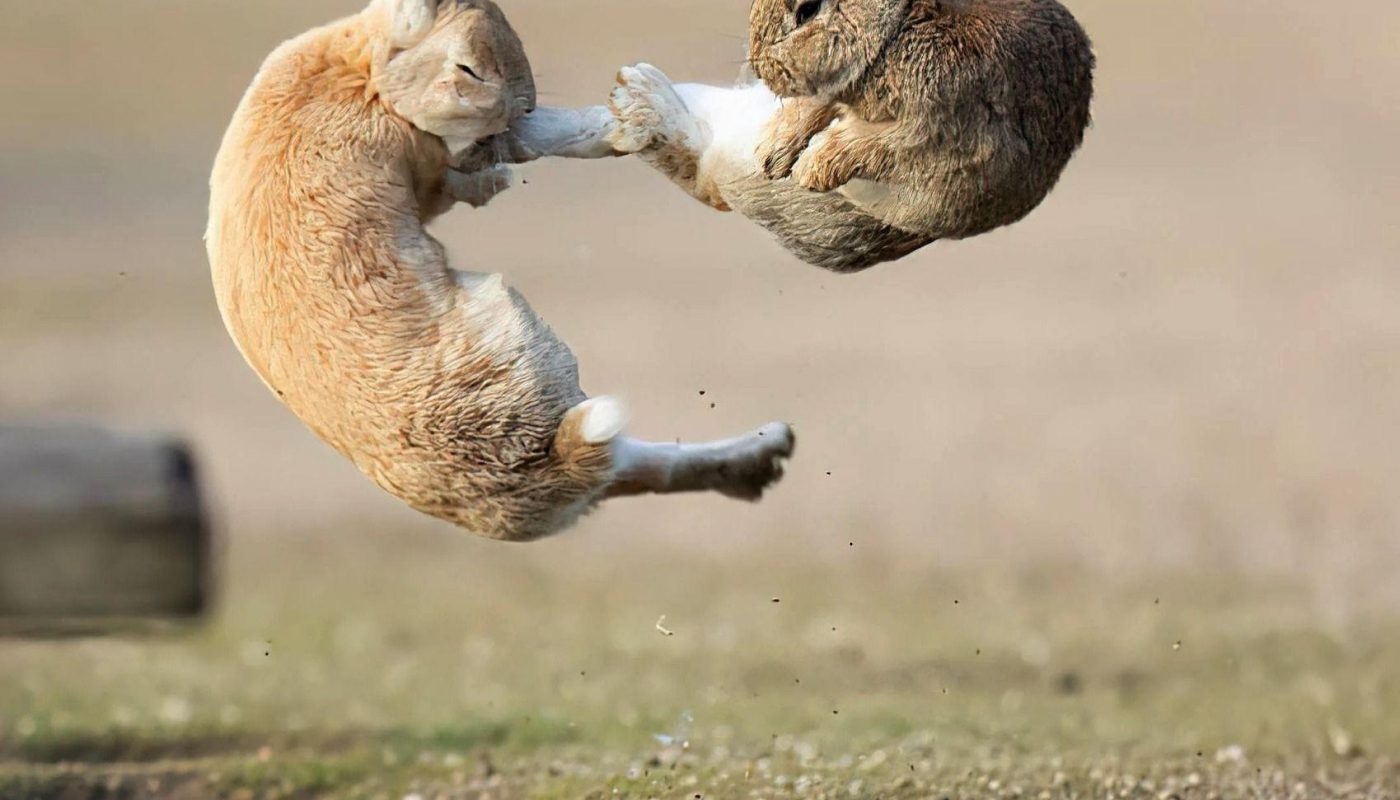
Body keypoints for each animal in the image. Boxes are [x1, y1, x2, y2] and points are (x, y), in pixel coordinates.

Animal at [206, 0, 795, 542]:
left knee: (638, 467)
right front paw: (595, 133)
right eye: (468, 68)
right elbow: (478, 166)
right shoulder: (425, 162)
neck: (364, 71)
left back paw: (766, 451)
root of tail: (548, 469)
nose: (522, 104)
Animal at [605, 0, 1094, 272]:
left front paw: (812, 169)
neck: (893, 35)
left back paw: (639, 101)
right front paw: (777, 152)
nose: (759, 64)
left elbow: (866, 146)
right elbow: (815, 109)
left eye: (807, 8)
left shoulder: (928, 129)